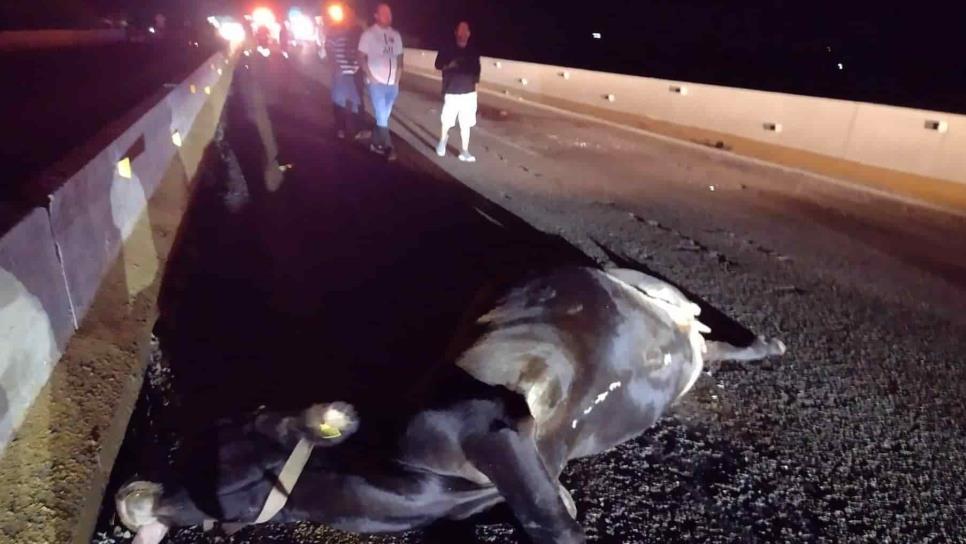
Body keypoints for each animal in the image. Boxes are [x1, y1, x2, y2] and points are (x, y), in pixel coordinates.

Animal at [119, 268, 788, 544]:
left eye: (204, 450)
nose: (128, 499)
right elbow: (553, 507)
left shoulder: (489, 422)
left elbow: (552, 522)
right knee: (711, 350)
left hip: (652, 285)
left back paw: (768, 342)